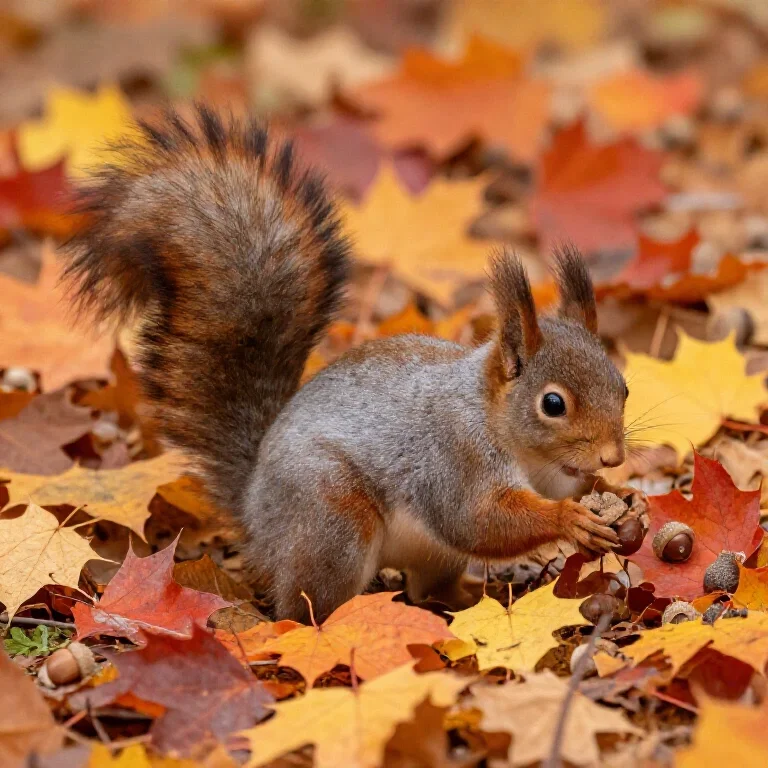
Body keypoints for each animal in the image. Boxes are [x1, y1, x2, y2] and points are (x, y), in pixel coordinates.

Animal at [63, 106, 645, 623]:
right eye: (553, 403)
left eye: (624, 388)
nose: (614, 456)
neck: (509, 433)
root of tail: (254, 510)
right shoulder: (453, 462)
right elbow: (479, 521)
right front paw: (571, 519)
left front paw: (622, 497)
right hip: (333, 518)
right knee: (307, 607)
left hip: (426, 554)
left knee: (429, 586)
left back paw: (460, 602)